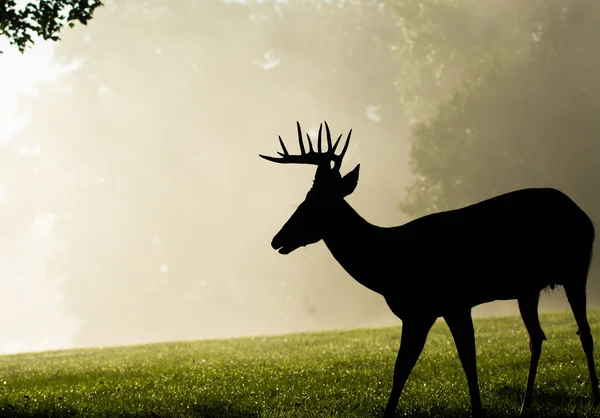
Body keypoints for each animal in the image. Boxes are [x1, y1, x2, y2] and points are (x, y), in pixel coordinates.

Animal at [258, 120, 600, 414]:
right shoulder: (419, 313)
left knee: (584, 332)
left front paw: (477, 411)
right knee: (537, 337)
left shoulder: (452, 303)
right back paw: (525, 407)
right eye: (304, 200)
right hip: (528, 288)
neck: (387, 263)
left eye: (313, 204)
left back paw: (595, 397)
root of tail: (582, 214)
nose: (277, 239)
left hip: (575, 268)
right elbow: (402, 369)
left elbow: (463, 360)